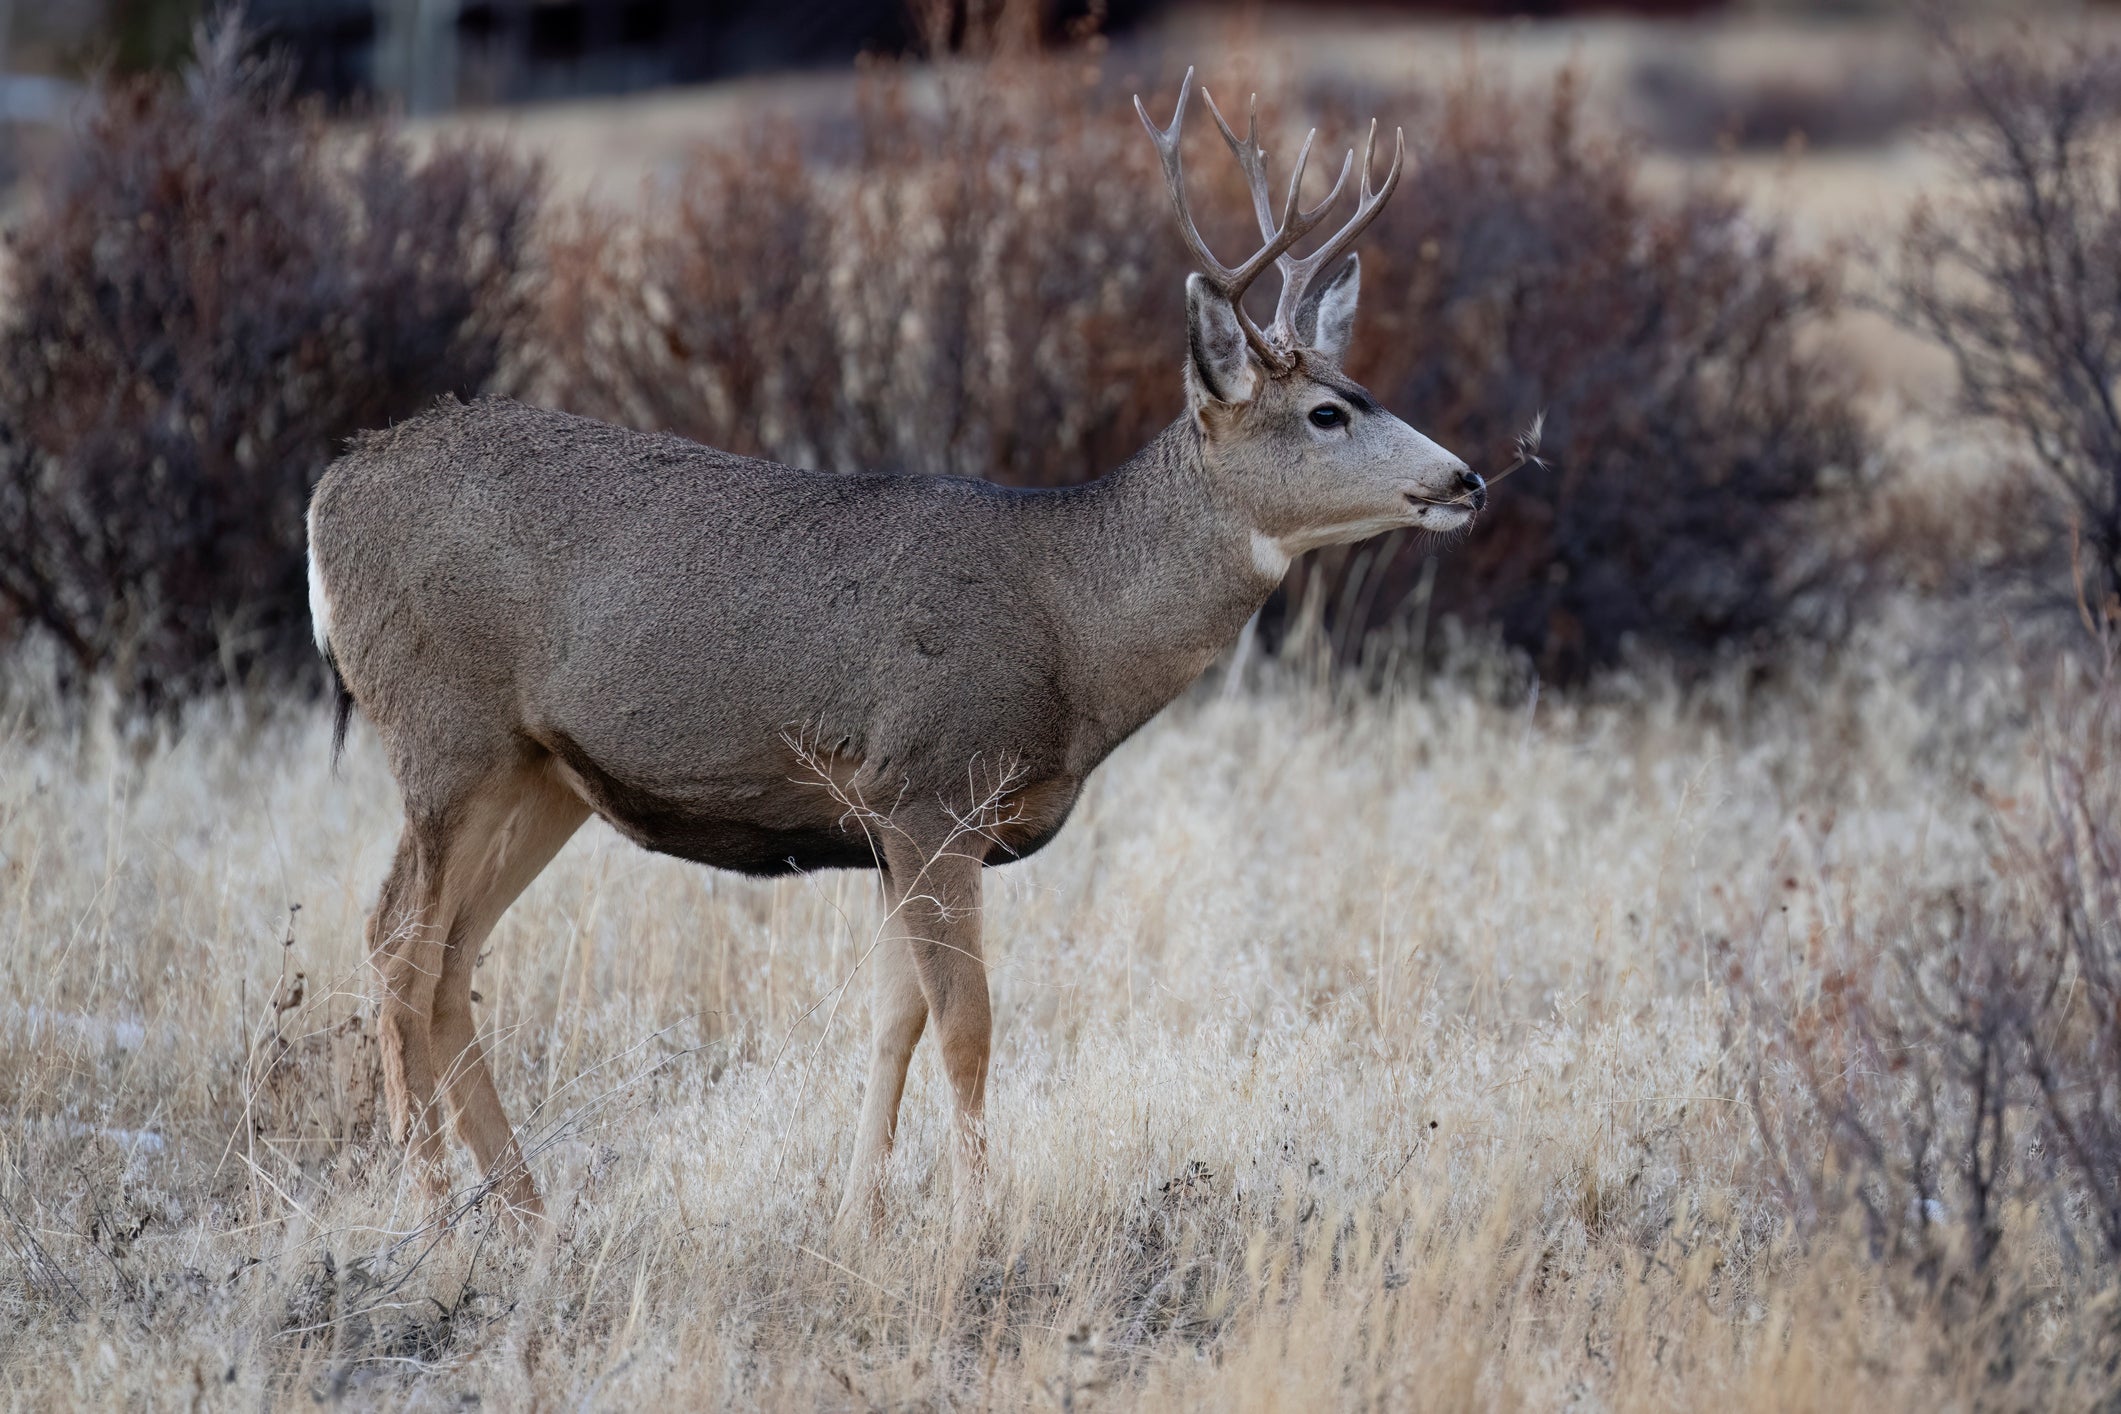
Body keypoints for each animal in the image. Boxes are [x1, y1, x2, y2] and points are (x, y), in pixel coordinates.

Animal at [309, 72, 1476, 1229]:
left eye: (1362, 393)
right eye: (1326, 413)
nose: (1466, 478)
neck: (1072, 620)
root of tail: (329, 491)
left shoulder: (888, 826)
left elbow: (893, 1021)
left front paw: (854, 1214)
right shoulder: (929, 787)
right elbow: (969, 1024)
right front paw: (972, 1226)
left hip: (540, 772)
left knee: (452, 955)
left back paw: (526, 1211)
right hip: (443, 728)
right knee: (396, 941)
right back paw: (427, 1203)